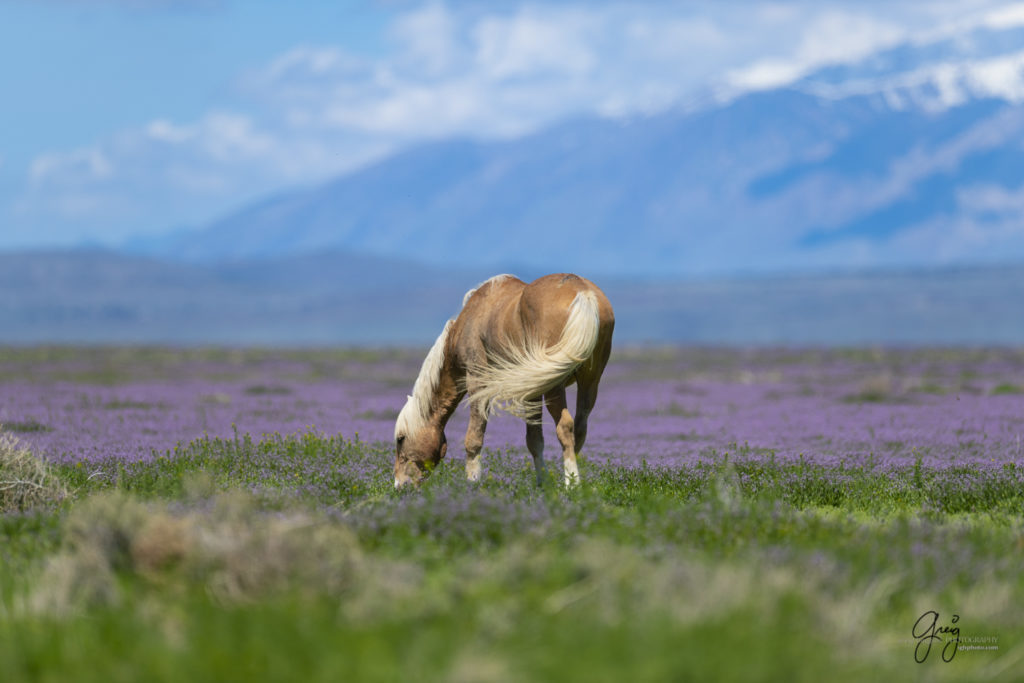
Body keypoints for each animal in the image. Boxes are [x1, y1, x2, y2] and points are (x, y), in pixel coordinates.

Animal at [393, 272, 614, 485]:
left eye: (400, 439)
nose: (399, 485)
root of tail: (583, 293)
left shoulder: (477, 382)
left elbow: (474, 438)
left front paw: (472, 483)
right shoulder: (532, 393)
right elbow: (534, 440)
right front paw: (543, 484)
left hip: (555, 387)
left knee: (565, 428)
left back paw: (572, 486)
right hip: (589, 382)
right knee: (579, 429)